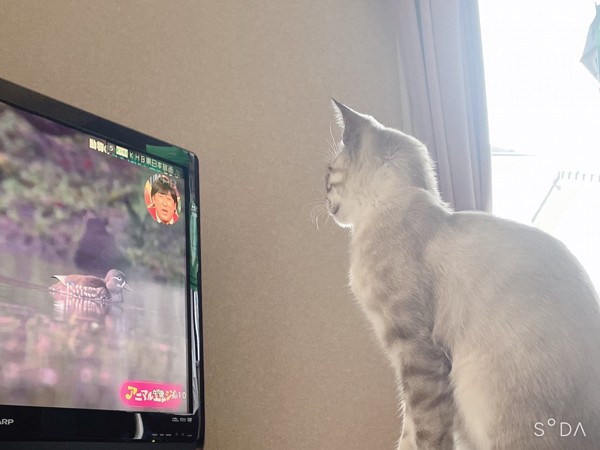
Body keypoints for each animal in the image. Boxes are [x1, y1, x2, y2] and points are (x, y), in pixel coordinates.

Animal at [326, 100, 600, 448]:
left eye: (327, 175)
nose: (324, 201)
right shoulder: (407, 361)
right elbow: (408, 432)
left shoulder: (415, 351)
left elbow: (426, 433)